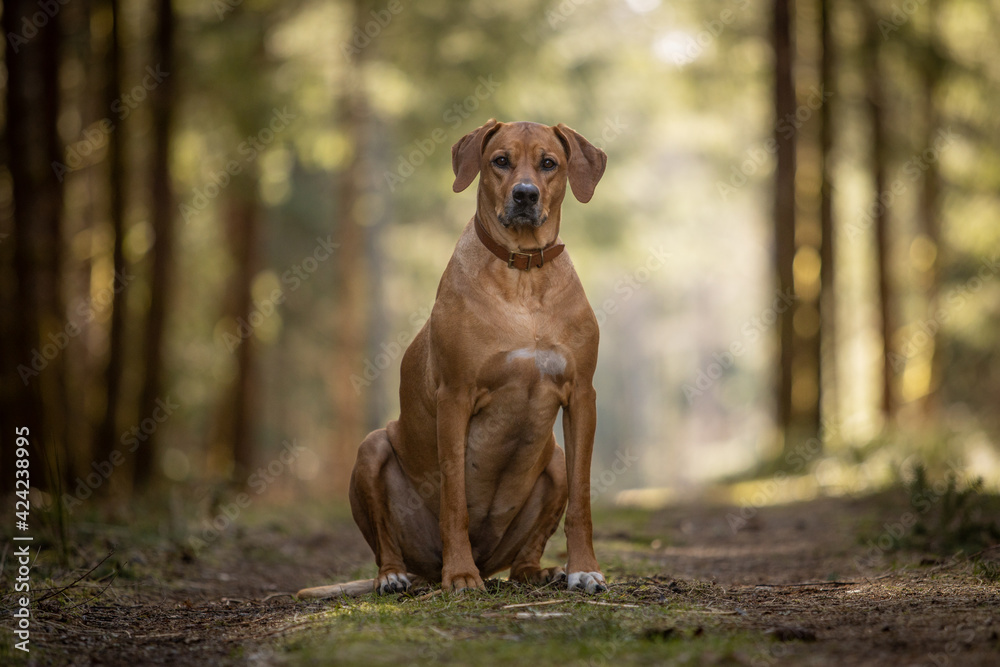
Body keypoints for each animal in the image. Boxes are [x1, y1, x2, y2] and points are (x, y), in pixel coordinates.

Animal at [296, 120, 604, 600]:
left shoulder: (582, 397)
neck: (523, 275)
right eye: (500, 160)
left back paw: (540, 571)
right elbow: (454, 499)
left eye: (549, 163)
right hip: (372, 448)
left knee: (521, 562)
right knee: (386, 542)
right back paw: (396, 576)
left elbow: (582, 499)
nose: (525, 195)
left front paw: (584, 570)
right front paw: (459, 575)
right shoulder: (454, 398)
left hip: (552, 459)